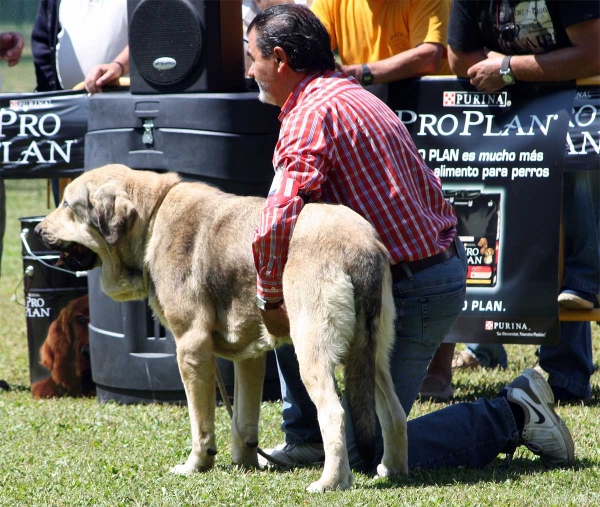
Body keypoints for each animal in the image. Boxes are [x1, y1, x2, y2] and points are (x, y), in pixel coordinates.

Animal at [36, 164, 408, 492]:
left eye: (67, 205)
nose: (37, 231)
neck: (152, 219)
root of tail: (360, 246)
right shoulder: (251, 357)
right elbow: (244, 421)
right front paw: (245, 463)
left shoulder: (191, 348)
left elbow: (200, 424)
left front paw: (196, 465)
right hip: (370, 355)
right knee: (394, 412)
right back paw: (392, 469)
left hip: (313, 353)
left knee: (334, 413)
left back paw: (331, 482)